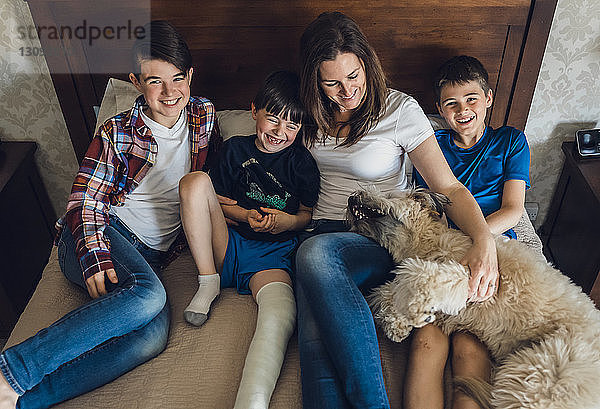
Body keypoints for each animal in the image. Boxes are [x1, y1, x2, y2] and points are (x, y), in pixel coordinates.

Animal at [344, 188, 600, 408]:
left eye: (387, 194)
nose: (351, 197)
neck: (428, 241)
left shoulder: (470, 275)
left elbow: (415, 275)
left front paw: (413, 310)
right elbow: (390, 291)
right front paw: (397, 321)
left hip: (540, 375)